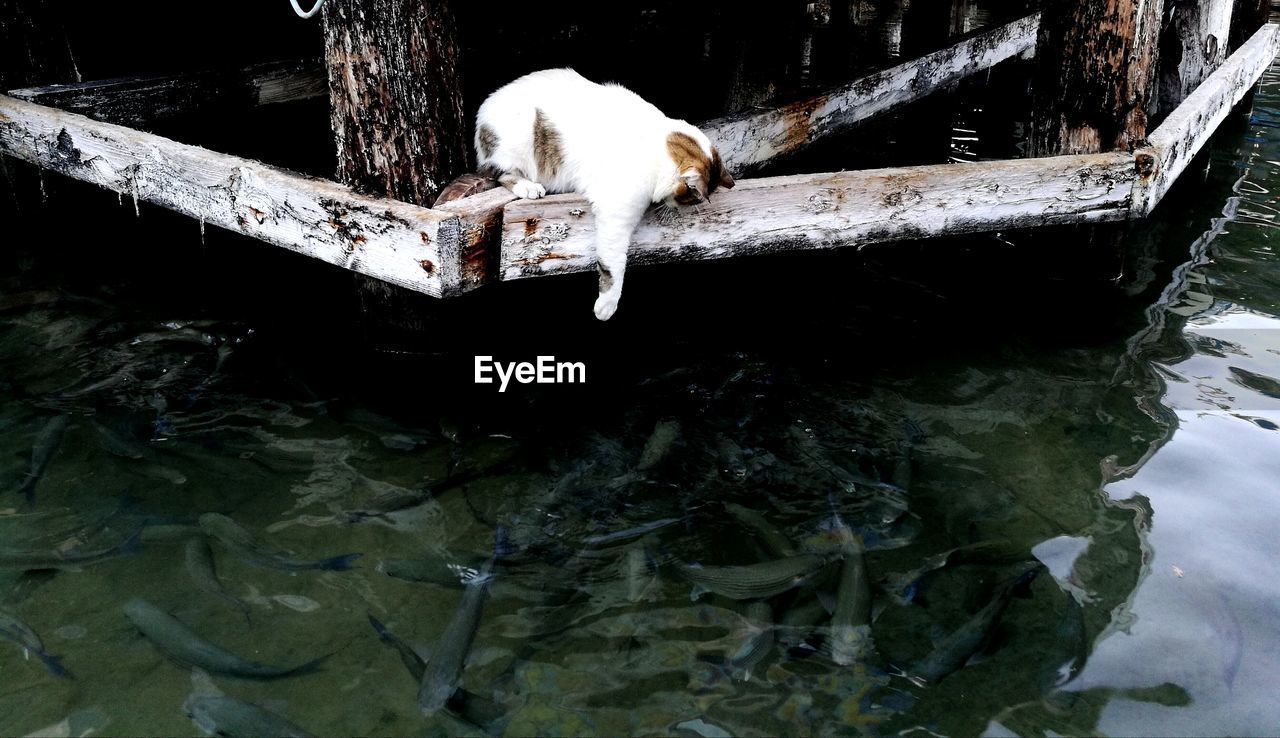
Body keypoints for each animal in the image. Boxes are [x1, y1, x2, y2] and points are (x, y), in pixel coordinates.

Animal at [473, 68, 737, 319]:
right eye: (690, 198)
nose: (676, 208)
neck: (657, 148)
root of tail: (483, 113)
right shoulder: (616, 215)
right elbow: (614, 264)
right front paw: (607, 306)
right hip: (518, 144)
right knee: (498, 173)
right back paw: (528, 187)